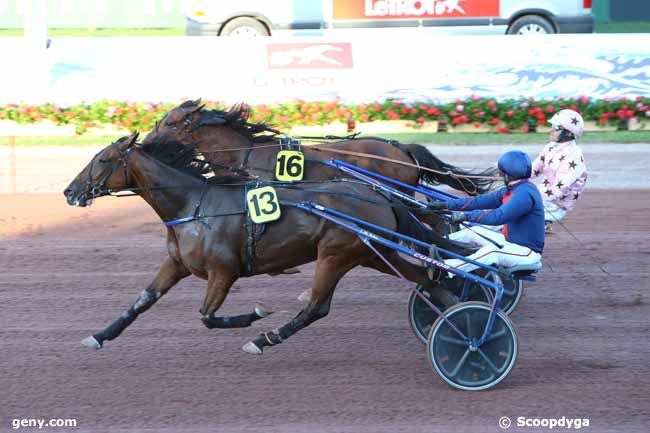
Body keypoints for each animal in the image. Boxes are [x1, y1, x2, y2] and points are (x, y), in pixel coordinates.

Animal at [62, 133, 466, 352]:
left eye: (103, 160)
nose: (69, 191)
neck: (193, 206)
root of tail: (378, 194)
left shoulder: (224, 271)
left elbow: (207, 317)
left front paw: (257, 314)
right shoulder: (176, 264)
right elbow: (142, 301)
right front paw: (99, 335)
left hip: (336, 254)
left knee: (317, 307)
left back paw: (264, 339)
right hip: (374, 252)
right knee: (427, 279)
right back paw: (454, 321)